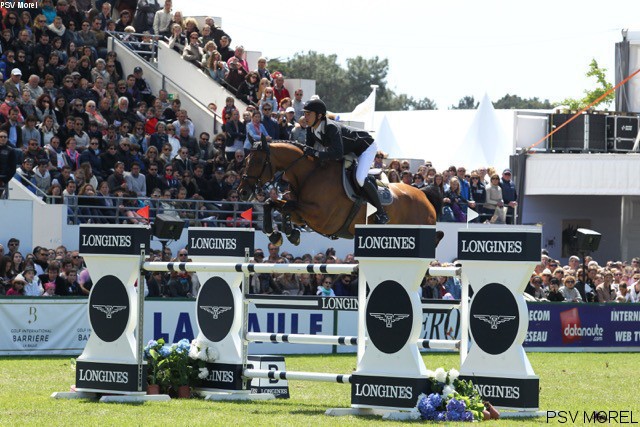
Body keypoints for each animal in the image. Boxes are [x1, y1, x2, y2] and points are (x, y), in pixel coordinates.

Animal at [238, 141, 442, 247]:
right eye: (245, 160)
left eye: (257, 161)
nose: (242, 192)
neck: (309, 174)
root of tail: (424, 196)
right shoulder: (303, 216)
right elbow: (273, 204)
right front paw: (278, 234)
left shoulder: (322, 217)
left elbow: (287, 205)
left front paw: (288, 233)